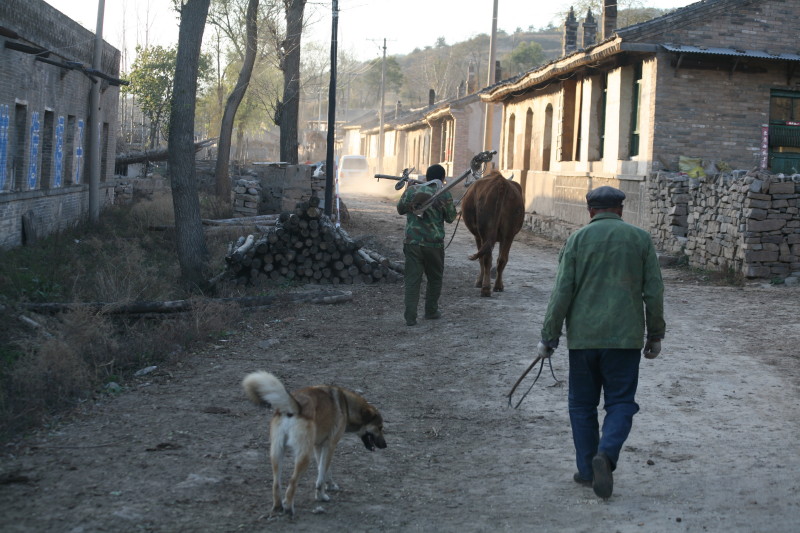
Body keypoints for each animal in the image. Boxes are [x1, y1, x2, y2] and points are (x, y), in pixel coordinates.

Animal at [242, 370, 386, 516]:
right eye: (380, 427)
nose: (385, 445)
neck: (346, 405)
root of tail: (295, 406)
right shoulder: (330, 446)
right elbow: (322, 475)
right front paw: (321, 496)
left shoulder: (319, 446)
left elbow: (324, 470)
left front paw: (330, 485)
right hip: (304, 457)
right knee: (292, 482)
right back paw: (288, 507)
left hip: (276, 454)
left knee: (276, 483)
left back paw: (278, 506)